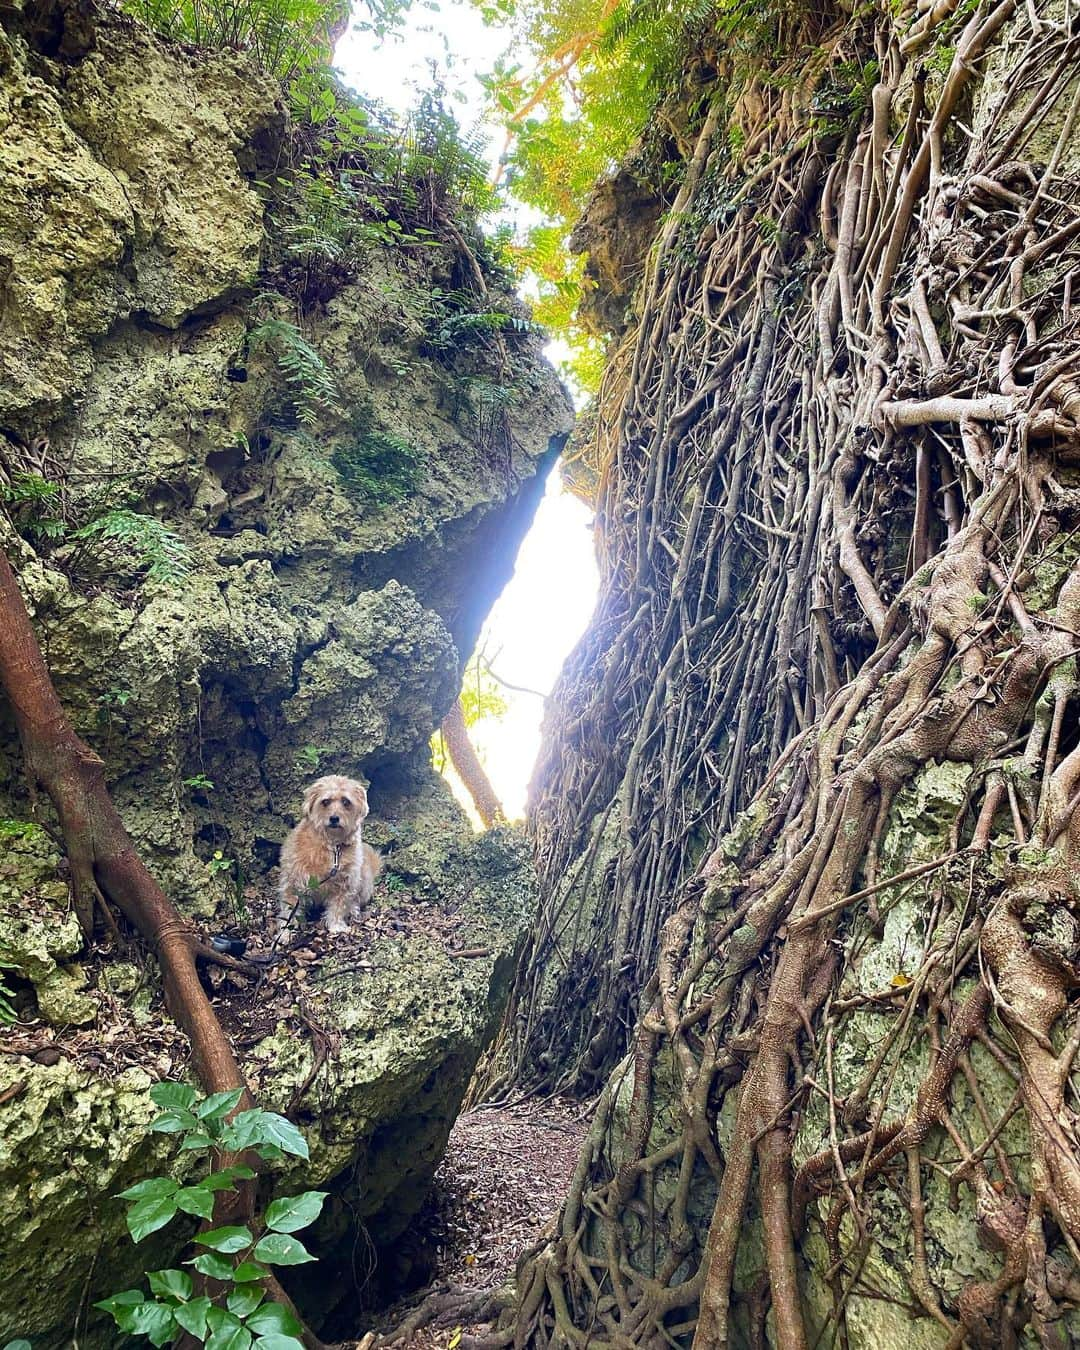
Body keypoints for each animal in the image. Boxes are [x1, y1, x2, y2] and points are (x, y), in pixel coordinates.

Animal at [276, 777, 380, 934]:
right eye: (325, 802)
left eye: (346, 802)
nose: (334, 818)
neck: (332, 846)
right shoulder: (294, 882)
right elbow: (289, 910)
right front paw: (285, 932)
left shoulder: (345, 884)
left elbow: (338, 906)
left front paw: (336, 926)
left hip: (364, 882)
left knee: (355, 901)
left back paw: (353, 910)